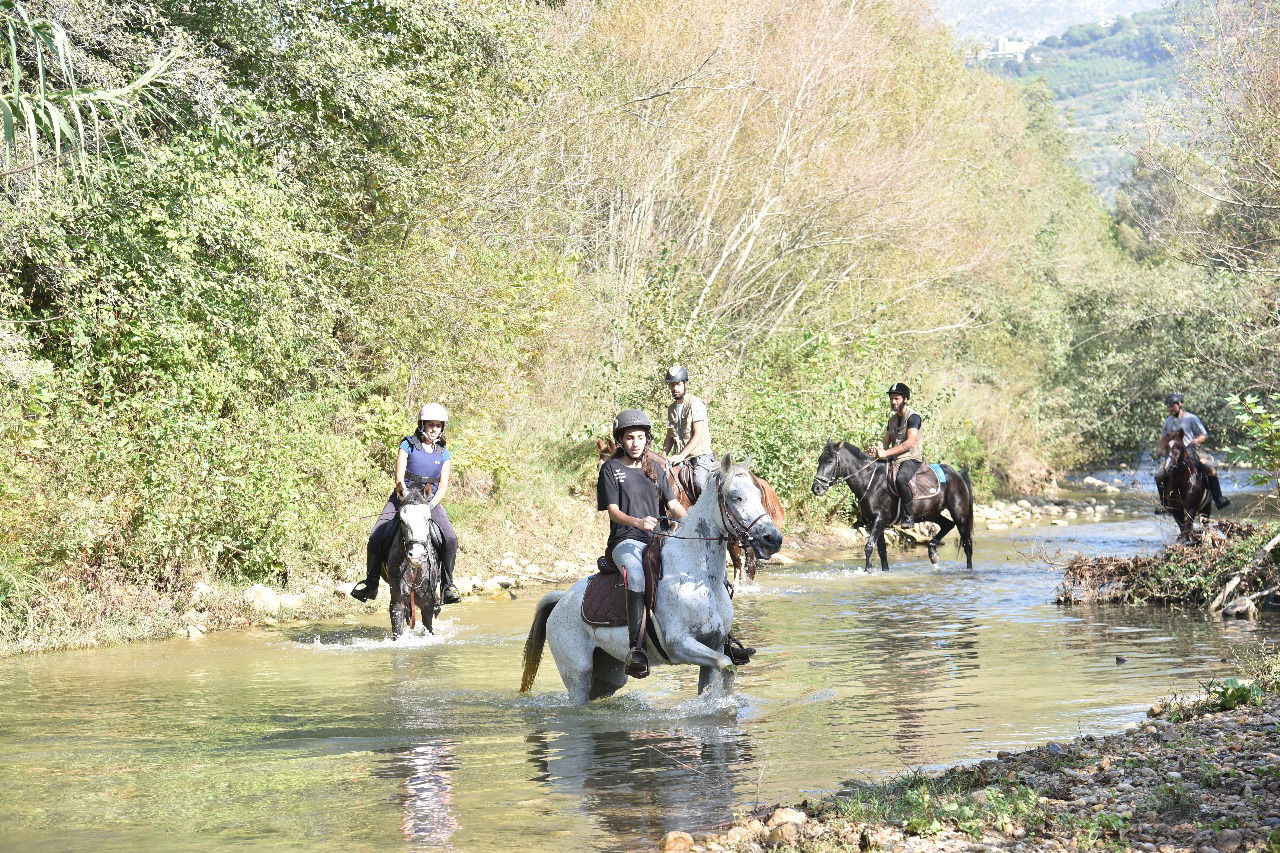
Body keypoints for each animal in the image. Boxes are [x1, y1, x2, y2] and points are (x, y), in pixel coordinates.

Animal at [381, 481, 448, 635]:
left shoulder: (428, 603)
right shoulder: (397, 602)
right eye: (401, 520)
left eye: (427, 519)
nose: (416, 556)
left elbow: (428, 627)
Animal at [517, 455, 778, 701]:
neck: (699, 577)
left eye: (758, 494)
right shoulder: (680, 644)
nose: (773, 539)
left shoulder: (713, 645)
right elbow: (727, 666)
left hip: (609, 673)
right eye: (736, 497)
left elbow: (723, 671)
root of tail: (562, 599)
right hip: (576, 674)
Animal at [814, 438, 972, 571]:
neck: (870, 481)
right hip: (931, 513)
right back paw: (932, 552)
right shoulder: (874, 523)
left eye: (830, 461)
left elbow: (869, 547)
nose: (816, 488)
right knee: (947, 525)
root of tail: (957, 473)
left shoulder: (879, 519)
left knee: (967, 544)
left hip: (960, 514)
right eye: (820, 460)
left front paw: (868, 571)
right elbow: (882, 550)